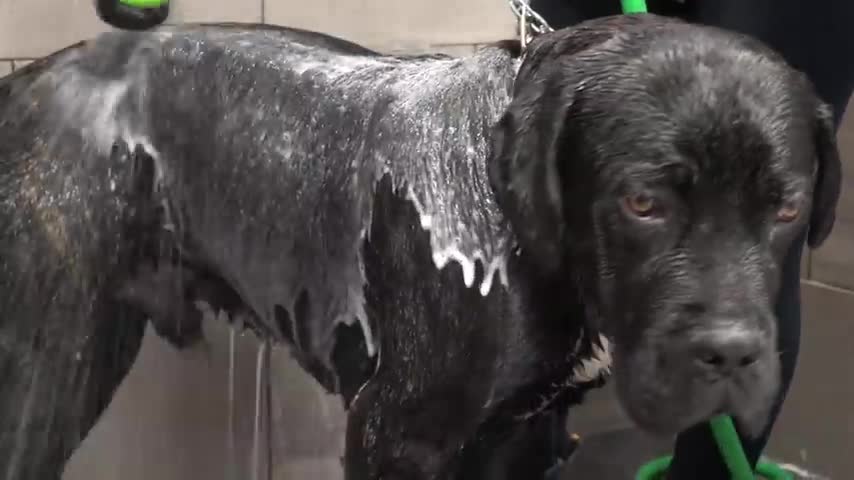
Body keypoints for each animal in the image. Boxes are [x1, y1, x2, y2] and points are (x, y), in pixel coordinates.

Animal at [0, 13, 844, 478]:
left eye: (787, 207)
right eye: (644, 204)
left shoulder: (520, 438)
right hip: (53, 375)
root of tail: (28, 81)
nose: (730, 353)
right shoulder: (395, 435)